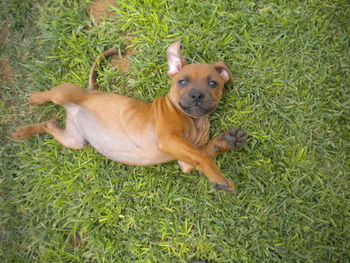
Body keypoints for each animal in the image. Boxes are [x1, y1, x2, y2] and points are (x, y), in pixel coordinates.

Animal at [11, 41, 246, 194]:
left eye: (213, 83)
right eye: (182, 81)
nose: (197, 95)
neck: (193, 121)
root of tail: (92, 92)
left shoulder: (183, 159)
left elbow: (203, 153)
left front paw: (226, 141)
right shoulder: (169, 139)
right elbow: (202, 157)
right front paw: (220, 179)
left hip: (74, 140)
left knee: (50, 123)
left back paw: (23, 132)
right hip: (64, 93)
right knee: (50, 94)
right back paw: (35, 99)